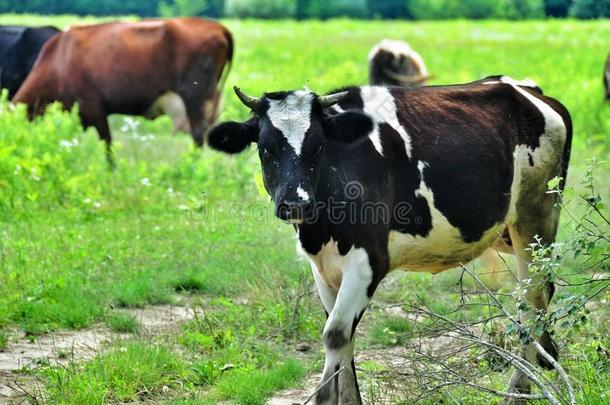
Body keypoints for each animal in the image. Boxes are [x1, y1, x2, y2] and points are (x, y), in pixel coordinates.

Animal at [14, 17, 233, 153]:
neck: (59, 60)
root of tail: (217, 27)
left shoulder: (93, 107)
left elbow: (108, 145)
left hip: (195, 98)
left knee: (198, 134)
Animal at [208, 76, 568, 404]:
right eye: (266, 148)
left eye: (318, 146)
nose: (295, 204)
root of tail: (528, 90)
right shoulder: (323, 268)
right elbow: (345, 339)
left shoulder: (369, 262)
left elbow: (335, 335)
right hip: (508, 231)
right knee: (538, 293)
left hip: (535, 218)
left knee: (532, 298)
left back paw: (519, 390)